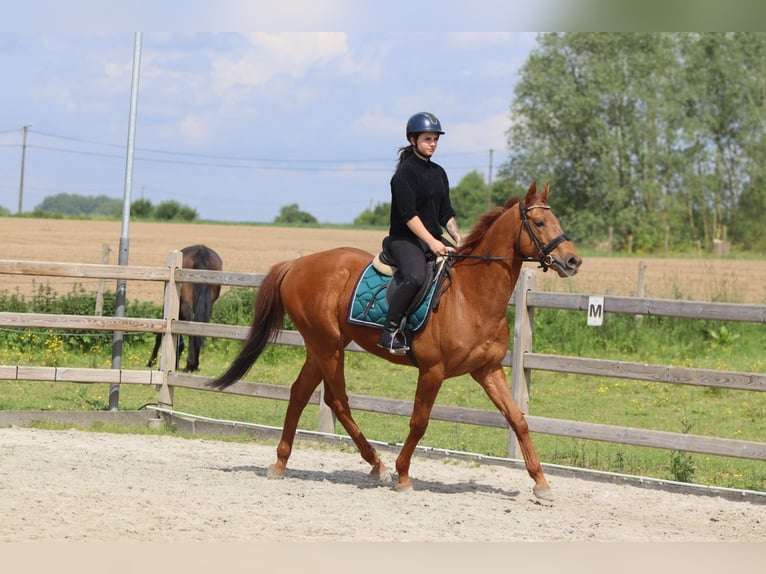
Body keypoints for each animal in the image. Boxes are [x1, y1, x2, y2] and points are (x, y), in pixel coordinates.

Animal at [147, 244, 223, 372]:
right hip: (208, 304)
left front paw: (151, 361)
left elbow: (159, 337)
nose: (175, 365)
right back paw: (194, 364)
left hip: (187, 303)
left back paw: (190, 365)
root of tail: (201, 253)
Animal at [206, 181, 582, 498]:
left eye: (556, 219)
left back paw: (282, 463)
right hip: (328, 348)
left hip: (321, 346)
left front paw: (541, 482)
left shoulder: (487, 371)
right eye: (539, 222)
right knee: (337, 400)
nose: (573, 261)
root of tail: (297, 265)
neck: (471, 297)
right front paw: (403, 475)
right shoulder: (432, 371)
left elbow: (517, 419)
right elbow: (419, 422)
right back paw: (379, 465)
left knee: (300, 393)